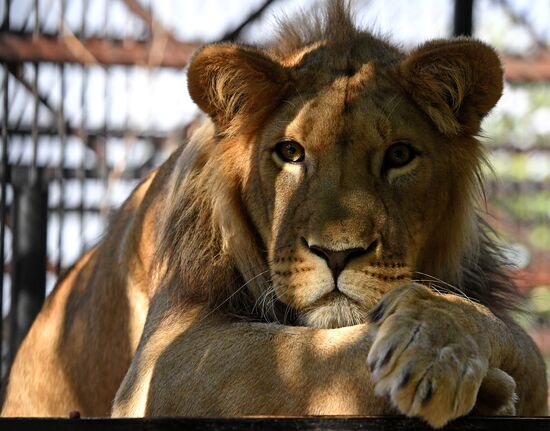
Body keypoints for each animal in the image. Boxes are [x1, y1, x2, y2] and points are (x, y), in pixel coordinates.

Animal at [2, 2, 548, 428]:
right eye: (290, 152)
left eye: (399, 155)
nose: (337, 254)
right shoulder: (163, 361)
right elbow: (312, 358)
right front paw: (441, 364)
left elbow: (526, 349)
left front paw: (439, 339)